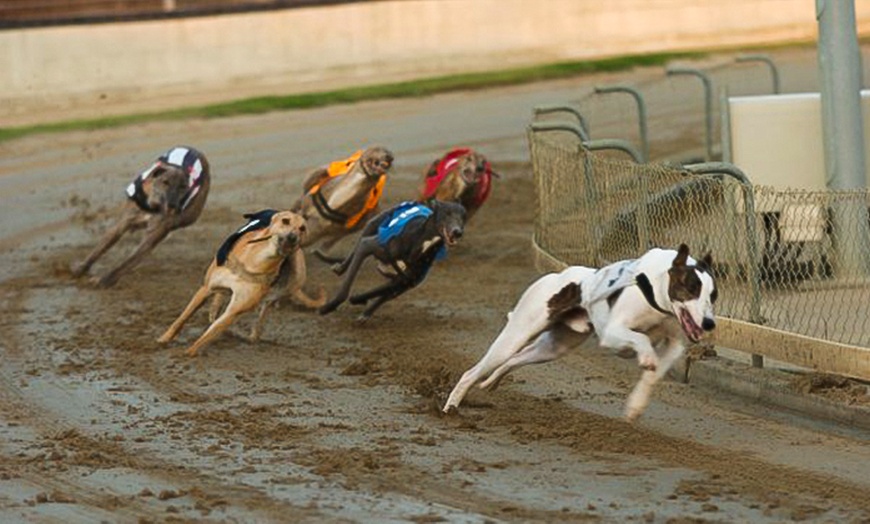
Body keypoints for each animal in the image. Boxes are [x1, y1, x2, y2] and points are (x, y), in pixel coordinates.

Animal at [71, 146, 211, 286]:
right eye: (165, 182)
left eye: (183, 186)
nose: (173, 206)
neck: (153, 204)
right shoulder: (122, 224)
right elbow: (101, 248)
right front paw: (81, 269)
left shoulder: (151, 238)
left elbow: (127, 263)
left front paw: (105, 280)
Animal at [158, 209, 324, 356]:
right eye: (286, 221)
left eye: (302, 228)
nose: (293, 237)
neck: (255, 262)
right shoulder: (206, 288)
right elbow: (182, 319)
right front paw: (163, 340)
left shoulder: (234, 310)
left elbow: (211, 332)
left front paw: (188, 353)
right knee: (221, 295)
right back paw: (215, 308)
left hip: (294, 279)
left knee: (265, 308)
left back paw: (253, 335)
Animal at [322, 201, 470, 322]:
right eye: (447, 213)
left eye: (463, 217)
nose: (457, 232)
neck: (422, 241)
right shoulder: (367, 246)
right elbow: (346, 288)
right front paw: (329, 307)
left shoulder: (407, 281)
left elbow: (381, 291)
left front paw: (359, 300)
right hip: (372, 226)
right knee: (356, 248)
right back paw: (341, 268)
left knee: (385, 294)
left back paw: (366, 312)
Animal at [446, 246, 720, 422]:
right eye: (691, 287)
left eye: (713, 294)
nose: (709, 323)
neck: (656, 292)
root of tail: (555, 277)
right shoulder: (612, 333)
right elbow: (641, 339)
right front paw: (646, 357)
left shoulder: (674, 344)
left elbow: (654, 374)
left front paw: (635, 405)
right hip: (516, 335)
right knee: (474, 371)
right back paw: (451, 407)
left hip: (554, 347)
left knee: (514, 360)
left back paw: (491, 382)